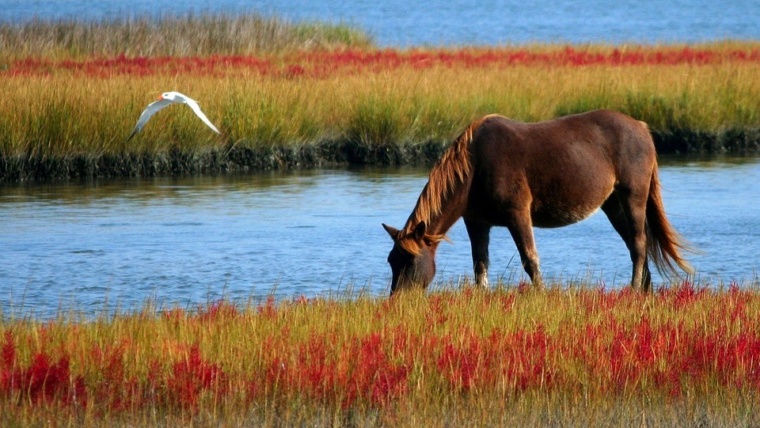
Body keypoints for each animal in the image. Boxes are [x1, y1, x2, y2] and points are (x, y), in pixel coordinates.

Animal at [382, 109, 692, 295]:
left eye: (409, 260)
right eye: (391, 260)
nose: (398, 300)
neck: (475, 166)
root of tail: (641, 127)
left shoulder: (518, 214)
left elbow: (530, 259)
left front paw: (540, 294)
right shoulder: (477, 222)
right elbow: (480, 264)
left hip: (633, 196)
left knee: (639, 244)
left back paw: (634, 289)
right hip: (613, 205)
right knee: (634, 244)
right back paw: (644, 289)